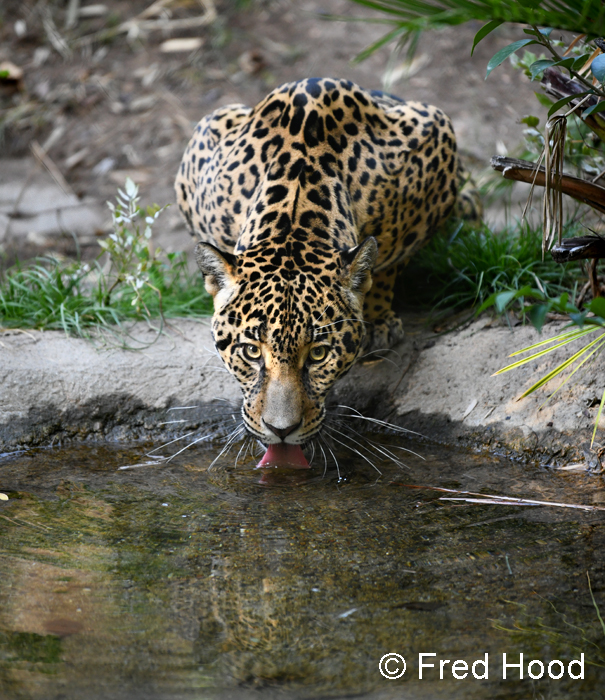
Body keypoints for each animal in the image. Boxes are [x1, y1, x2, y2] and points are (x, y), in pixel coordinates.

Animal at [175, 77, 479, 449]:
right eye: (250, 352)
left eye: (319, 354)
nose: (280, 430)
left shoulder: (433, 132)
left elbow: (387, 257)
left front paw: (378, 317)